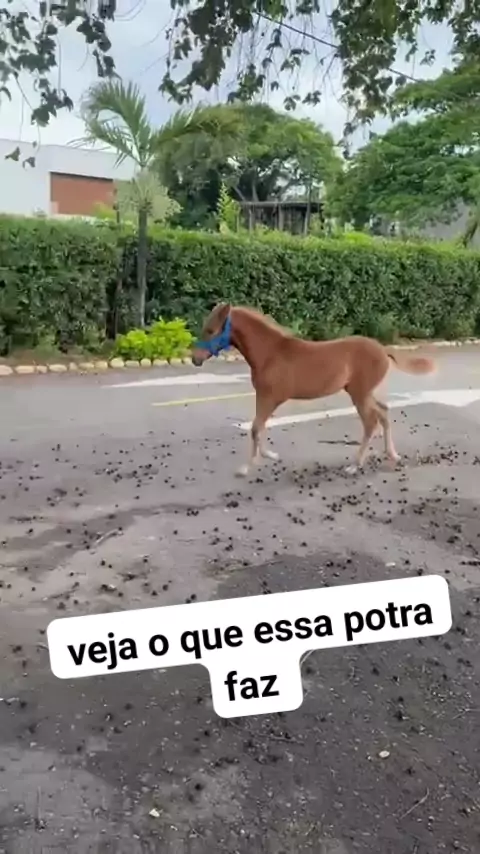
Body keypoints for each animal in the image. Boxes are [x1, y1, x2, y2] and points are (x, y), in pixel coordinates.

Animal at [191, 303, 436, 477]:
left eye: (210, 330)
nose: (195, 359)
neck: (270, 353)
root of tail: (383, 350)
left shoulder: (268, 397)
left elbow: (255, 428)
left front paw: (249, 466)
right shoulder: (266, 397)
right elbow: (259, 427)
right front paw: (269, 455)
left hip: (359, 394)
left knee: (371, 422)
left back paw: (355, 465)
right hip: (363, 392)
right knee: (384, 412)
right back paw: (393, 455)